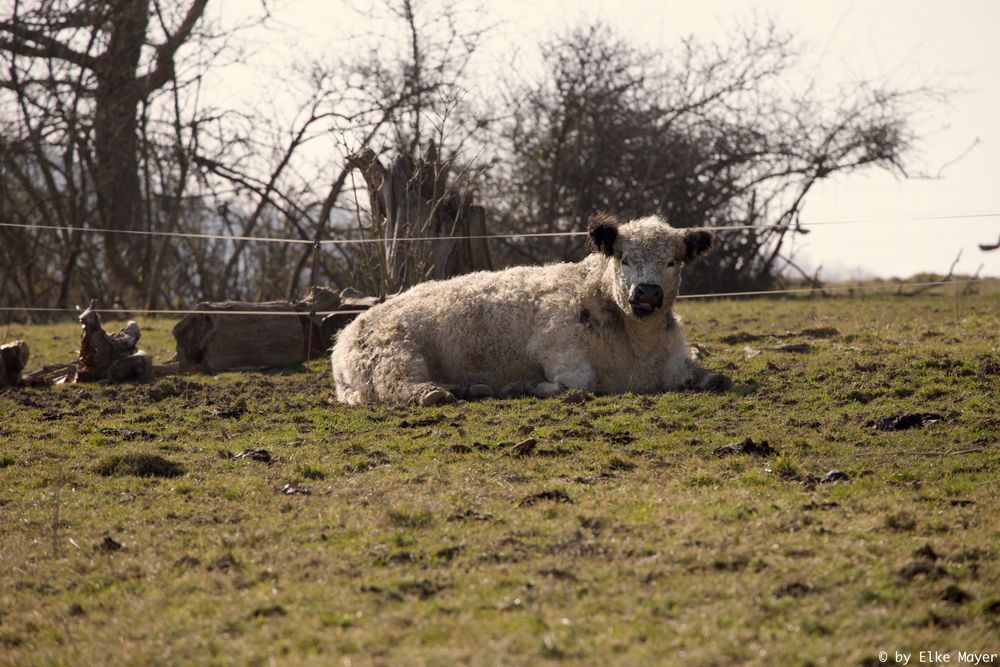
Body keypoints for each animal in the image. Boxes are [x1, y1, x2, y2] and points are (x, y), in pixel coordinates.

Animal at [332, 213, 732, 408]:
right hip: (396, 351)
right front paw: (524, 386)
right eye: (624, 258)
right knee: (396, 385)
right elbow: (580, 384)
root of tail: (346, 334)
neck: (637, 349)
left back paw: (470, 388)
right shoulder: (558, 347)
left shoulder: (674, 359)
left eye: (672, 261)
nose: (646, 292)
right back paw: (437, 394)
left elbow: (711, 377)